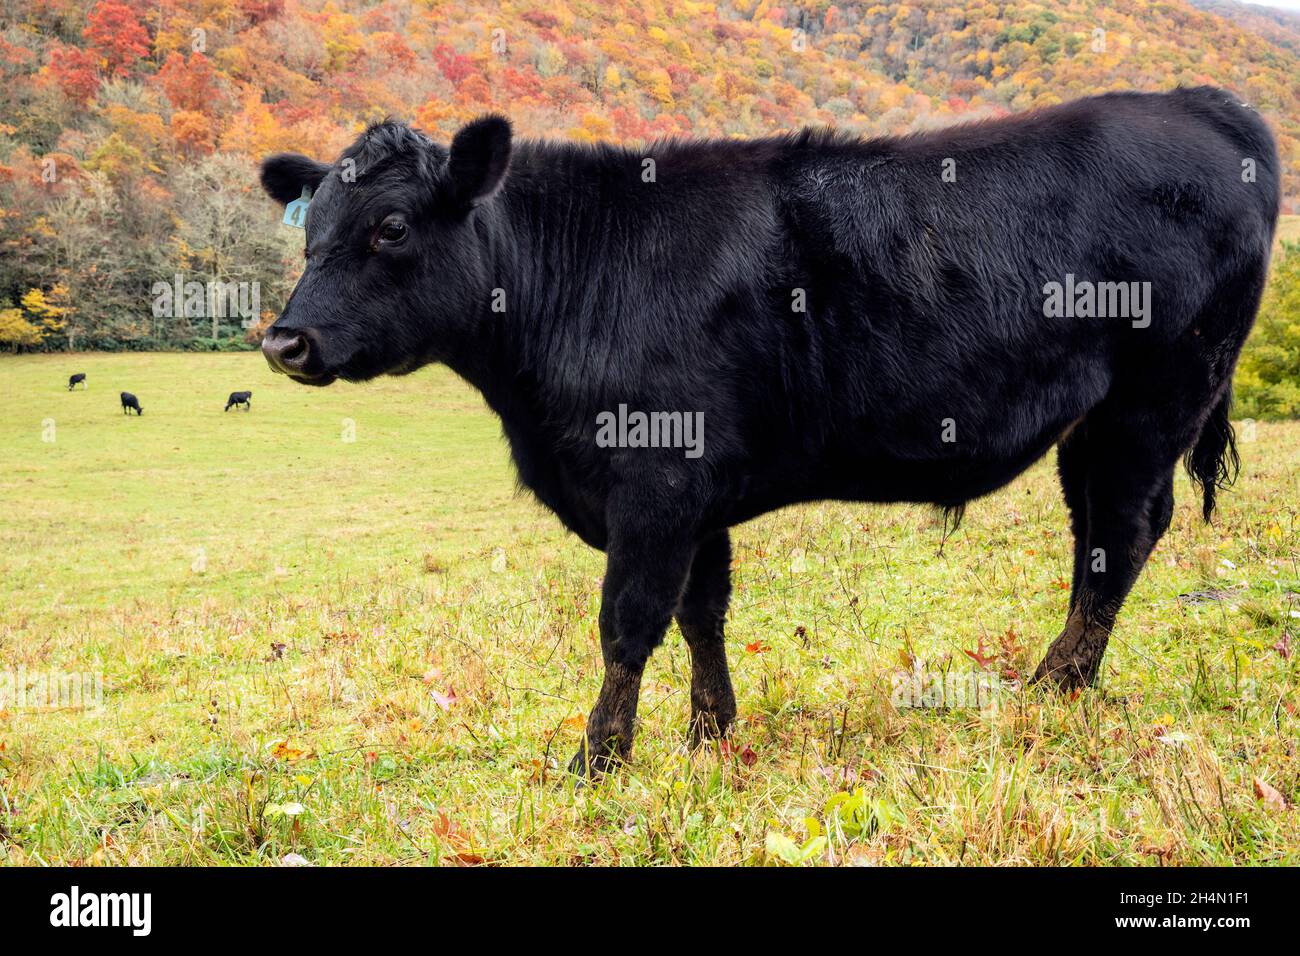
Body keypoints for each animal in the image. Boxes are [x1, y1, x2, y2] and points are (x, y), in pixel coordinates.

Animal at [258, 86, 1279, 777]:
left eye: (391, 228)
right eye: (310, 231)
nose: (282, 340)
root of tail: (1198, 104)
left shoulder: (656, 480)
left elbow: (627, 621)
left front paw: (600, 758)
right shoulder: (697, 492)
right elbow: (701, 612)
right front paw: (710, 731)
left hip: (1157, 397)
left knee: (1125, 533)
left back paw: (1056, 684)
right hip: (1098, 420)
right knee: (1097, 537)